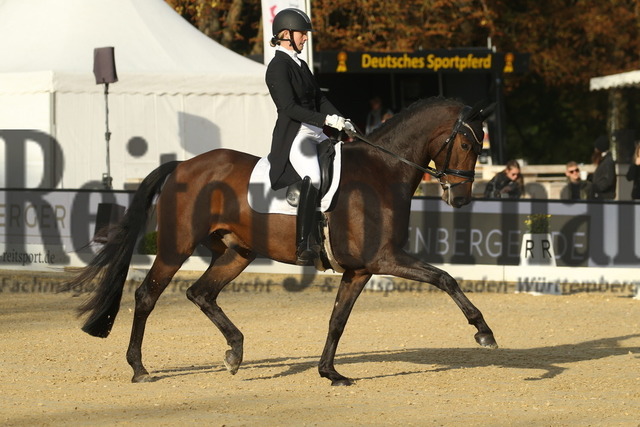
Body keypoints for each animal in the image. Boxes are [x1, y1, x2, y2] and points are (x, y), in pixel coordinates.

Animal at [71, 98, 500, 388]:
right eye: (467, 144)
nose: (462, 199)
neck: (382, 170)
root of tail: (183, 166)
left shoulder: (360, 269)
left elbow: (337, 320)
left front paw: (330, 372)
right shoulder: (384, 258)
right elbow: (445, 278)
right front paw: (483, 331)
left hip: (237, 252)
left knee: (202, 293)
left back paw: (235, 352)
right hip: (177, 246)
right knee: (147, 295)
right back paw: (139, 368)